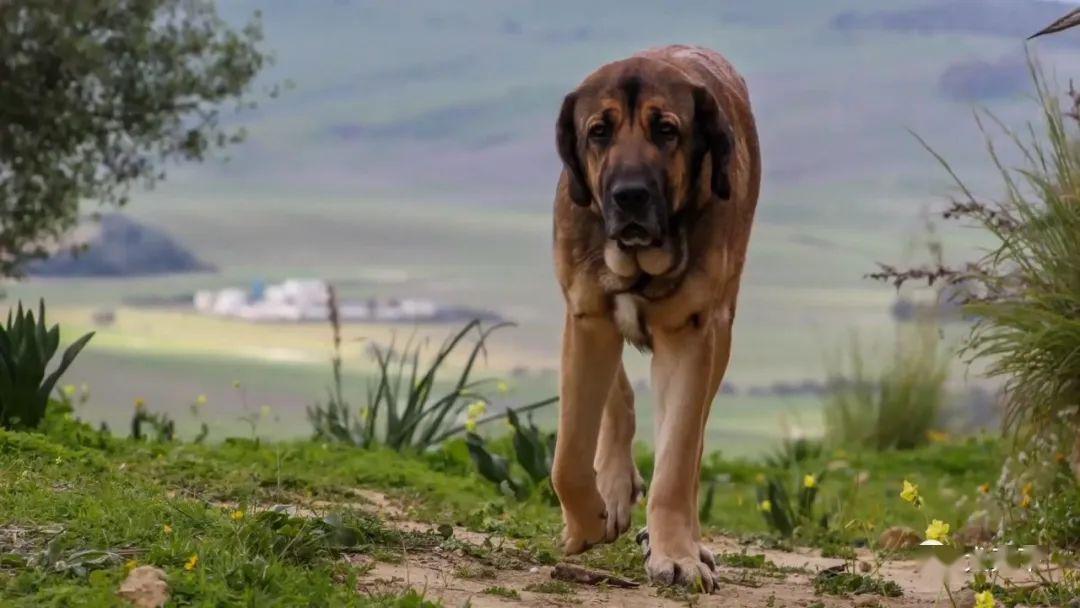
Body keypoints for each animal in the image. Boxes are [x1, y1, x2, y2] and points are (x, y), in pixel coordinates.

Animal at [548, 44, 760, 591]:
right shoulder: (586, 315)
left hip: (720, 333)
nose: (630, 195)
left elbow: (677, 462)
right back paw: (614, 486)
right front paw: (587, 522)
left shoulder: (691, 334)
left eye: (666, 129)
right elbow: (568, 455)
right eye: (598, 131)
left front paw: (677, 554)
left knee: (691, 444)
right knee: (615, 396)